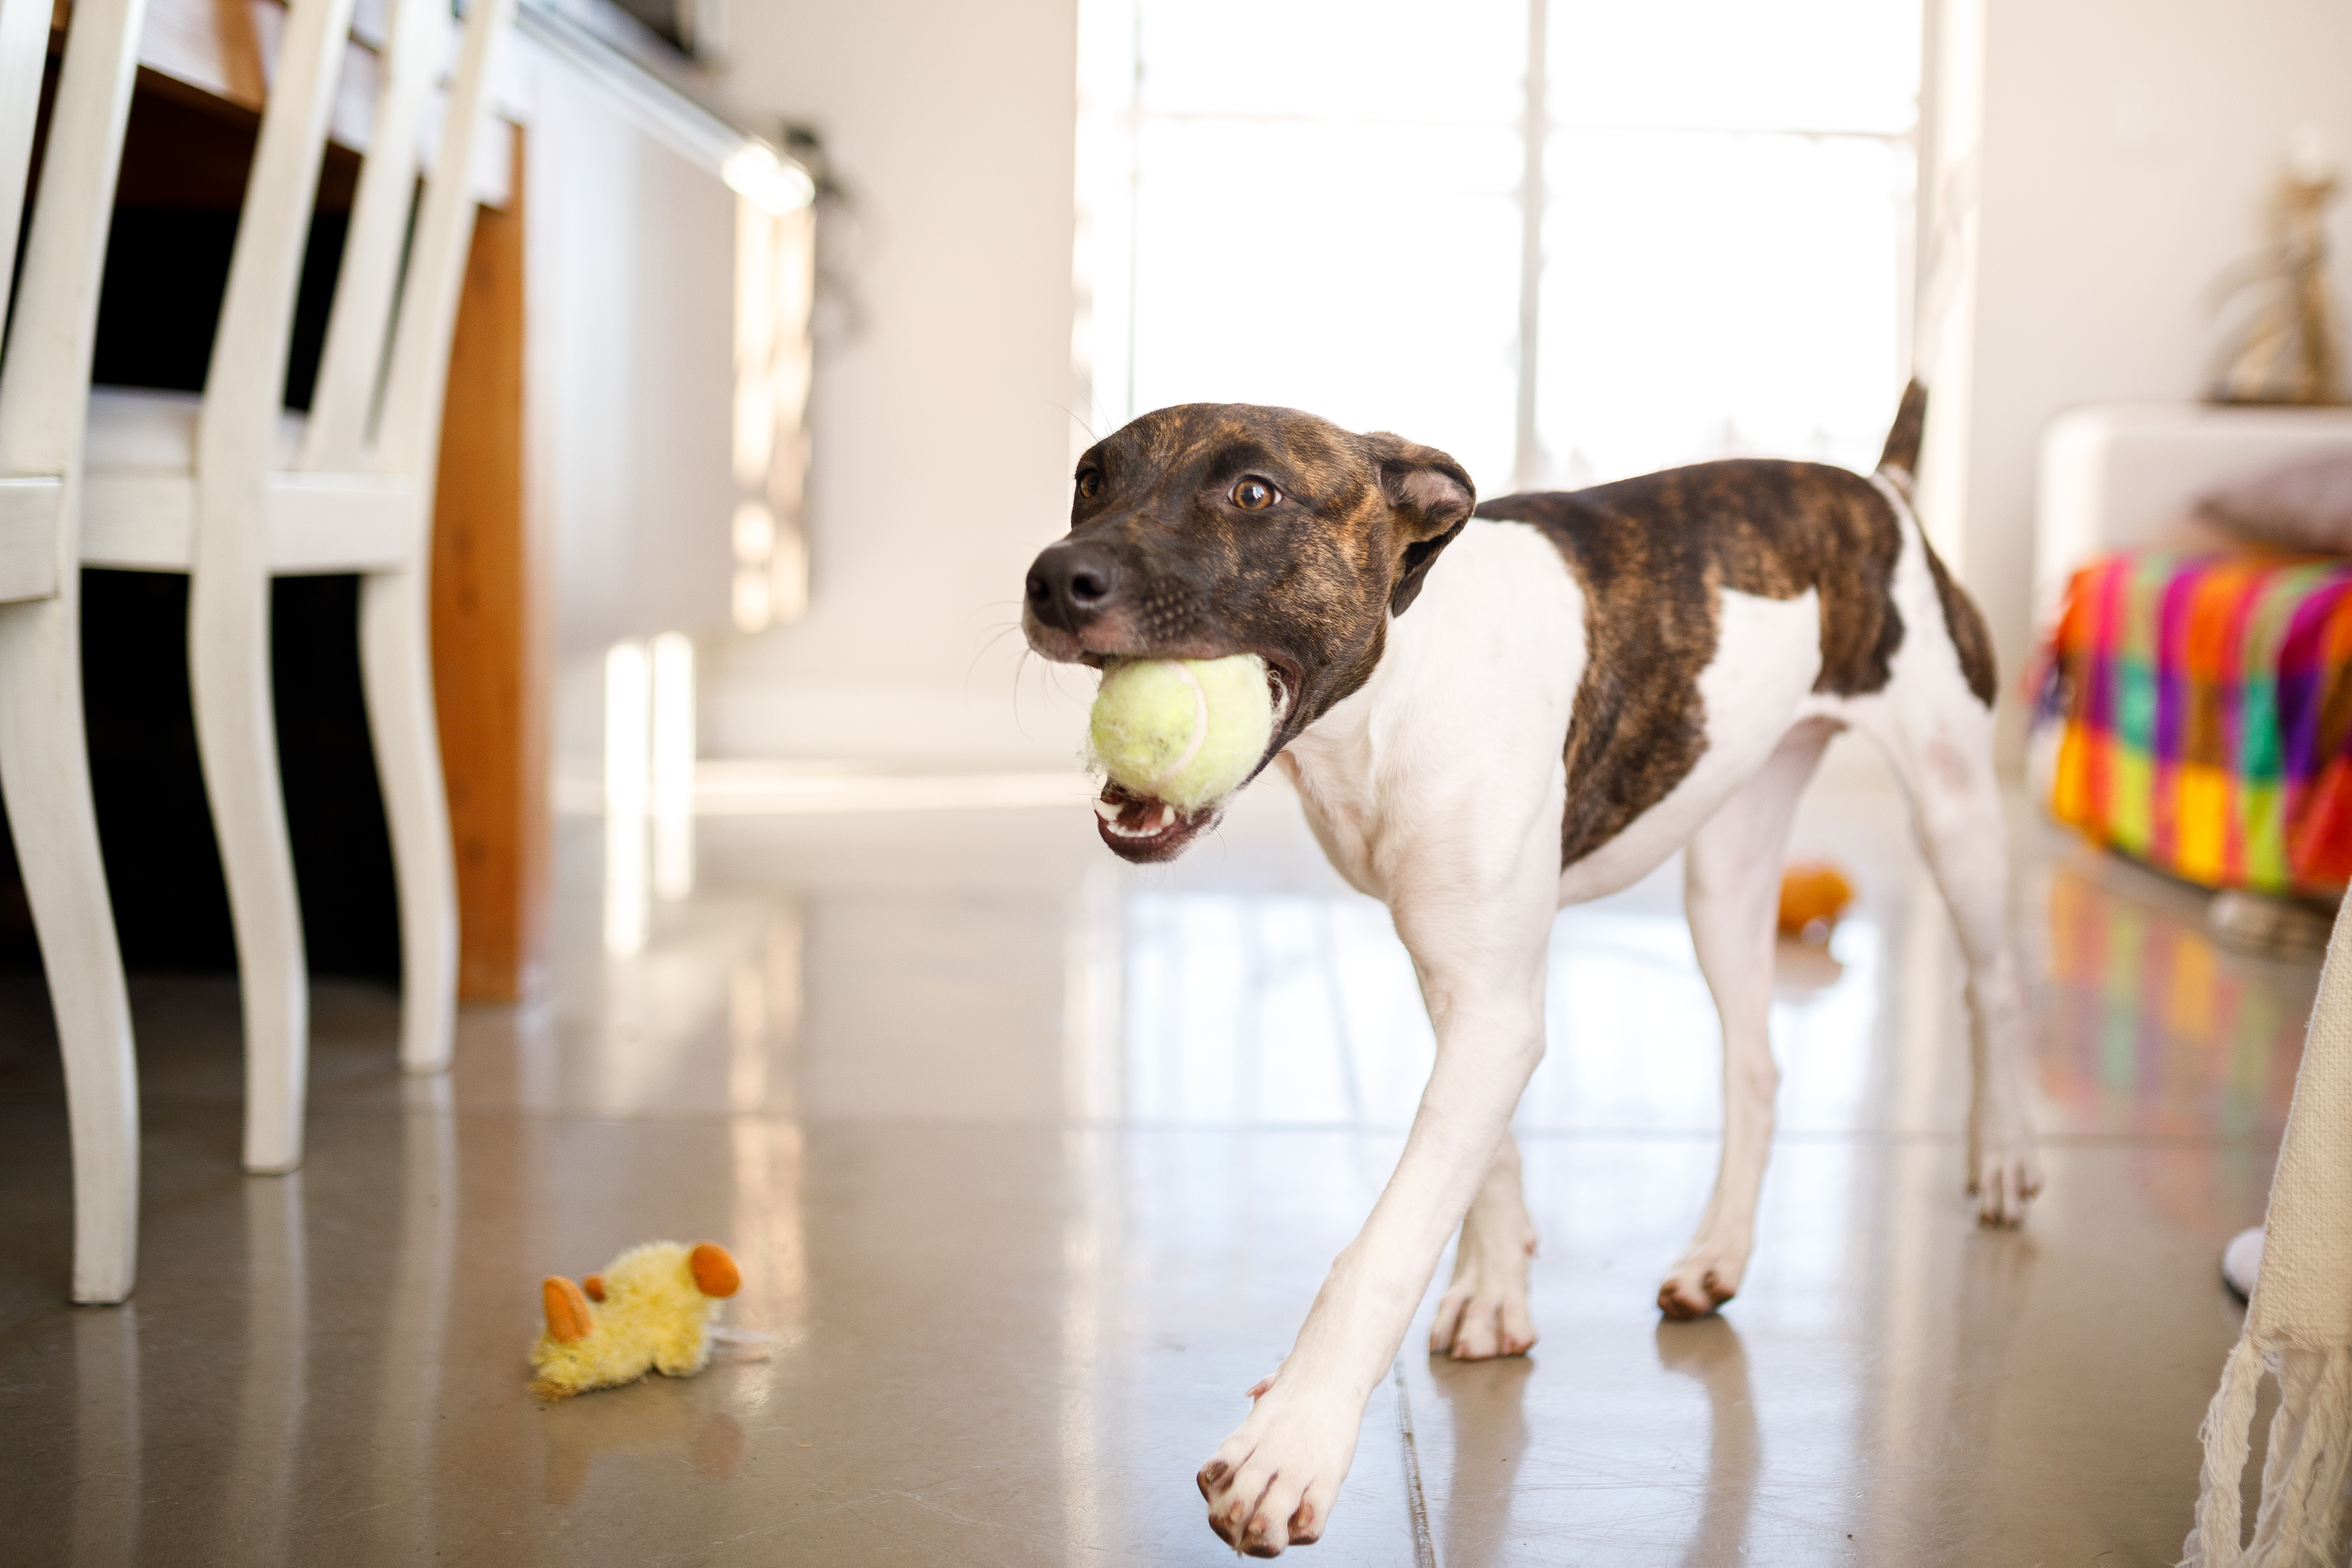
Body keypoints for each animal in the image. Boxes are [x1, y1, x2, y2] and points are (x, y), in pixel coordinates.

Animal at [1030, 383, 2041, 1561]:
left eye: (1253, 493)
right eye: (1089, 478)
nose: (1054, 578)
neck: (1391, 692)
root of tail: (1881, 490)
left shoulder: (1491, 1006)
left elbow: (1388, 1240)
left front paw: (1291, 1442)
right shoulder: (1465, 975)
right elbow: (1483, 1155)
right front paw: (1496, 1287)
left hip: (1953, 809)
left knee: (1994, 985)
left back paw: (2005, 1158)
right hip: (1728, 867)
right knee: (1755, 1066)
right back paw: (1718, 1256)